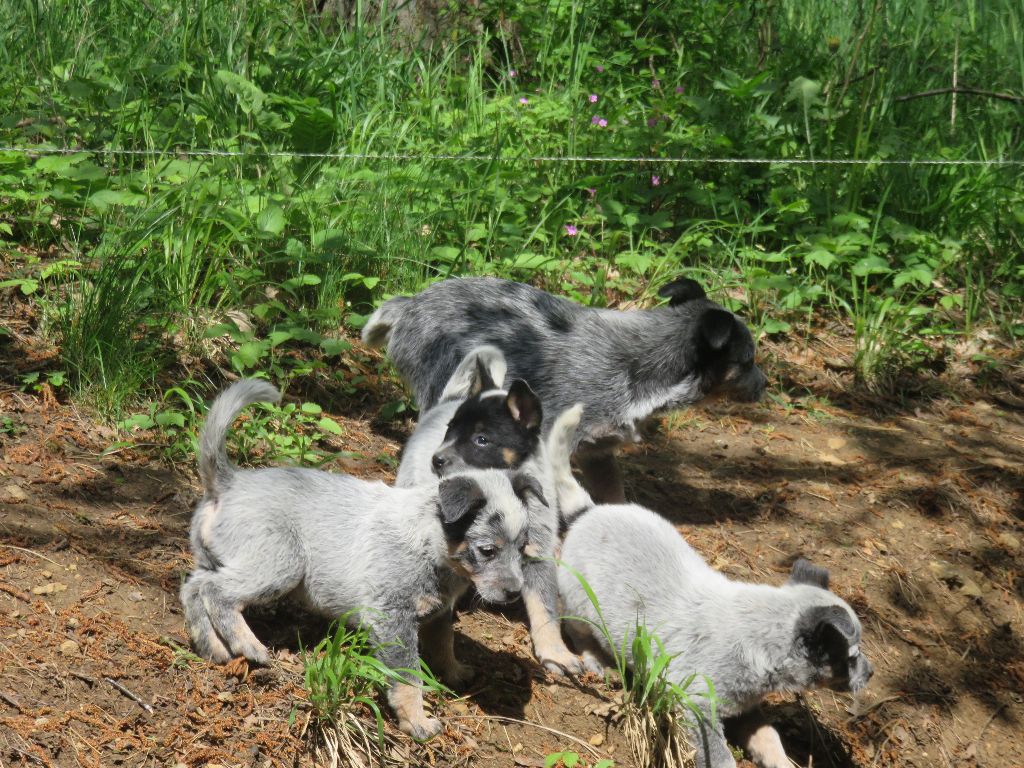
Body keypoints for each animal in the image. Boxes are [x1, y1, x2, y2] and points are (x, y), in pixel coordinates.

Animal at [181, 382, 544, 741]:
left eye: (522, 547)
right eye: (488, 550)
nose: (515, 592)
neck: (429, 539)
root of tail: (230, 482)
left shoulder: (439, 611)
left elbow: (444, 643)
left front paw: (454, 672)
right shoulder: (393, 619)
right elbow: (409, 676)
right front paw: (417, 721)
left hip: (221, 559)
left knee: (193, 588)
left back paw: (213, 647)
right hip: (281, 565)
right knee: (216, 593)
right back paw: (249, 645)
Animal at [395, 346, 581, 675]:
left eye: (481, 440)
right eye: (449, 431)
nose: (436, 460)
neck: (501, 490)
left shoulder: (538, 550)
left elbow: (544, 606)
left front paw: (555, 652)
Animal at [548, 405, 876, 765]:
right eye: (851, 656)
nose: (872, 673)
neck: (761, 641)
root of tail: (588, 512)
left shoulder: (747, 708)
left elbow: (770, 739)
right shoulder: (695, 702)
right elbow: (721, 757)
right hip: (582, 606)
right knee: (576, 630)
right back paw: (598, 660)